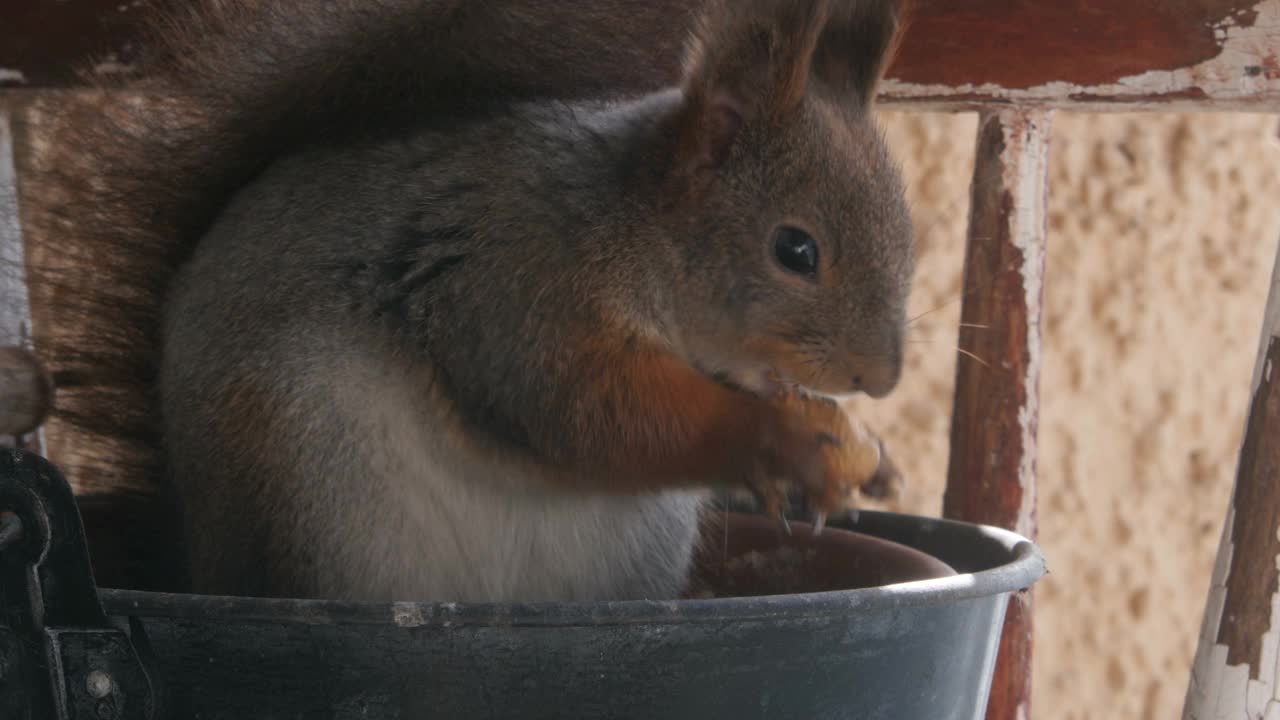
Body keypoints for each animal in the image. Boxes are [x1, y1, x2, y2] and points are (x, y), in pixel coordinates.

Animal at [27, 0, 911, 597]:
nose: (882, 379)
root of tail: (196, 551)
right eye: (795, 250)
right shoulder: (516, 284)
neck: (637, 231)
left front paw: (857, 451)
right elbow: (587, 410)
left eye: (907, 234)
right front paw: (784, 441)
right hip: (308, 471)